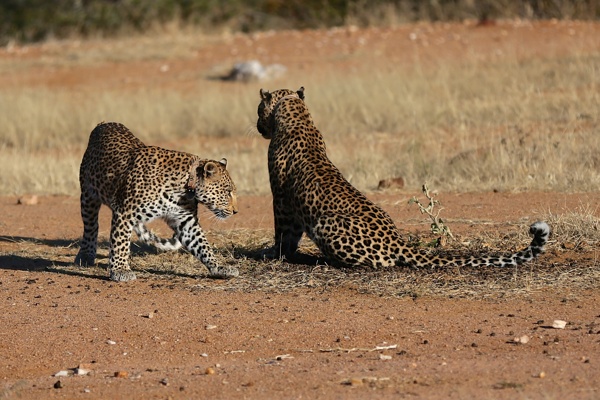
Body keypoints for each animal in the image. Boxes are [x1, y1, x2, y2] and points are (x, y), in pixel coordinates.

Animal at [76, 122, 240, 282]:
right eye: (228, 192)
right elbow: (120, 242)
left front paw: (219, 267)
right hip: (88, 196)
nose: (235, 211)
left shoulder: (186, 221)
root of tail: (103, 124)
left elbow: (202, 245)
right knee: (91, 227)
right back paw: (85, 256)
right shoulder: (124, 212)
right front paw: (120, 270)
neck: (184, 187)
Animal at [255, 87, 552, 268]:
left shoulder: (281, 199)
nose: (257, 126)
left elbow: (284, 232)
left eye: (258, 109)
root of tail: (398, 241)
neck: (296, 113)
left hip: (325, 224)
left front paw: (275, 255)